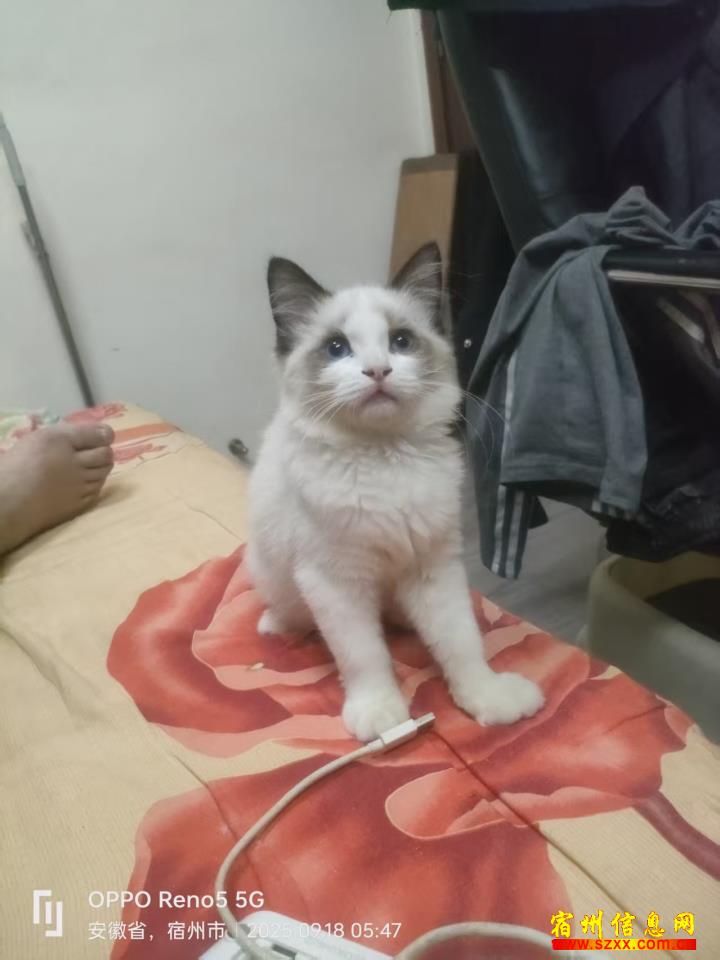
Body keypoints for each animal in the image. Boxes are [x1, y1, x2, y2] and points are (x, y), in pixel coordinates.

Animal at [247, 243, 544, 741]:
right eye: (337, 348)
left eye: (401, 342)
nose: (378, 371)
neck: (385, 459)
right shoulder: (335, 582)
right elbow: (364, 657)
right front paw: (382, 716)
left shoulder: (433, 567)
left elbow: (462, 644)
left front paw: (486, 699)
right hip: (275, 573)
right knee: (294, 616)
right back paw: (276, 625)